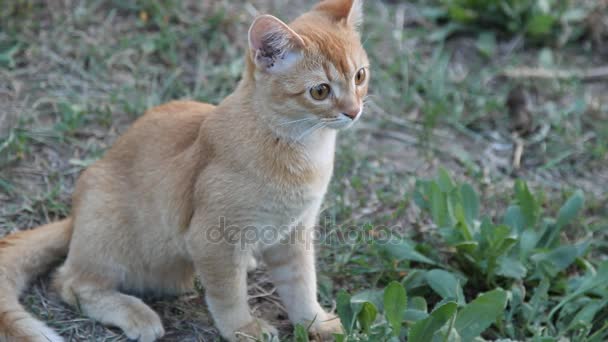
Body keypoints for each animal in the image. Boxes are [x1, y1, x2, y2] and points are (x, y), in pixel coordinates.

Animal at [0, 1, 370, 340]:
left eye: (360, 76)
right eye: (320, 91)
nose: (353, 111)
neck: (303, 150)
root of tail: (74, 217)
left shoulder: (295, 233)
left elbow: (301, 286)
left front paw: (316, 323)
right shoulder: (213, 240)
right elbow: (228, 296)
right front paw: (244, 329)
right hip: (111, 231)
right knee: (71, 282)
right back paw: (136, 315)